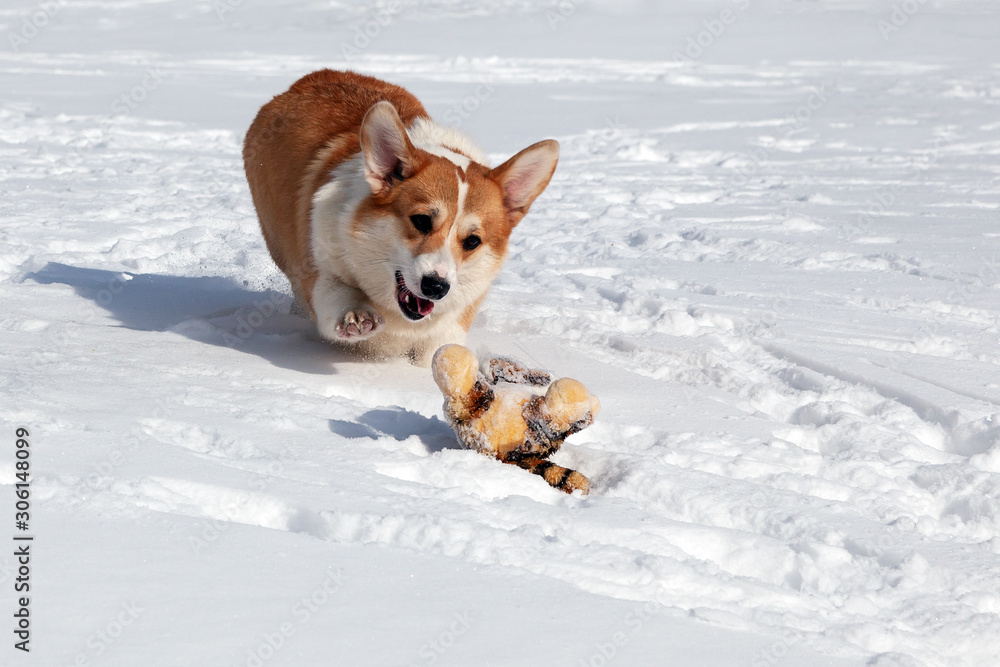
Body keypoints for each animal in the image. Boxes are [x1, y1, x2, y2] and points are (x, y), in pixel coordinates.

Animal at [241, 70, 556, 366]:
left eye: (472, 241)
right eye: (422, 221)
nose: (436, 287)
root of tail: (314, 77)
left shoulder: (447, 329)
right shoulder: (318, 266)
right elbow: (335, 291)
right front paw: (356, 314)